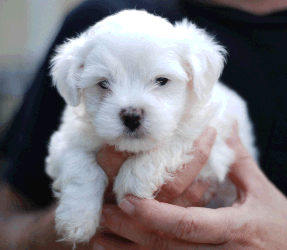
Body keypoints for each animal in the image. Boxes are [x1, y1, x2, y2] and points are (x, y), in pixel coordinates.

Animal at [45, 9, 258, 244]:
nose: (131, 116)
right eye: (103, 83)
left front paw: (132, 179)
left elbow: (175, 140)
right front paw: (76, 219)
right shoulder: (66, 139)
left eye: (162, 80)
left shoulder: (214, 145)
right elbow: (80, 165)